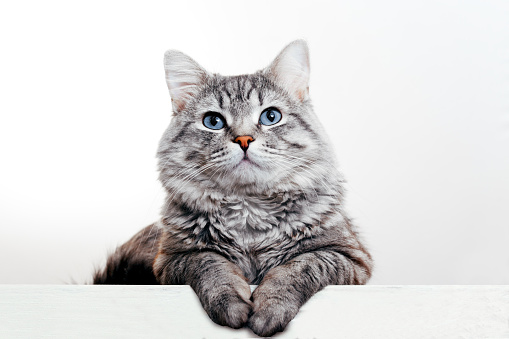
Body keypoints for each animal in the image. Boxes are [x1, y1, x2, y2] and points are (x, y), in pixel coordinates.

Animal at [94, 40, 374, 338]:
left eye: (271, 116)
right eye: (213, 121)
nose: (243, 139)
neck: (249, 211)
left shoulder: (348, 256)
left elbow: (297, 268)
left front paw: (269, 309)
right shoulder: (172, 259)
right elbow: (212, 267)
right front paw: (232, 305)